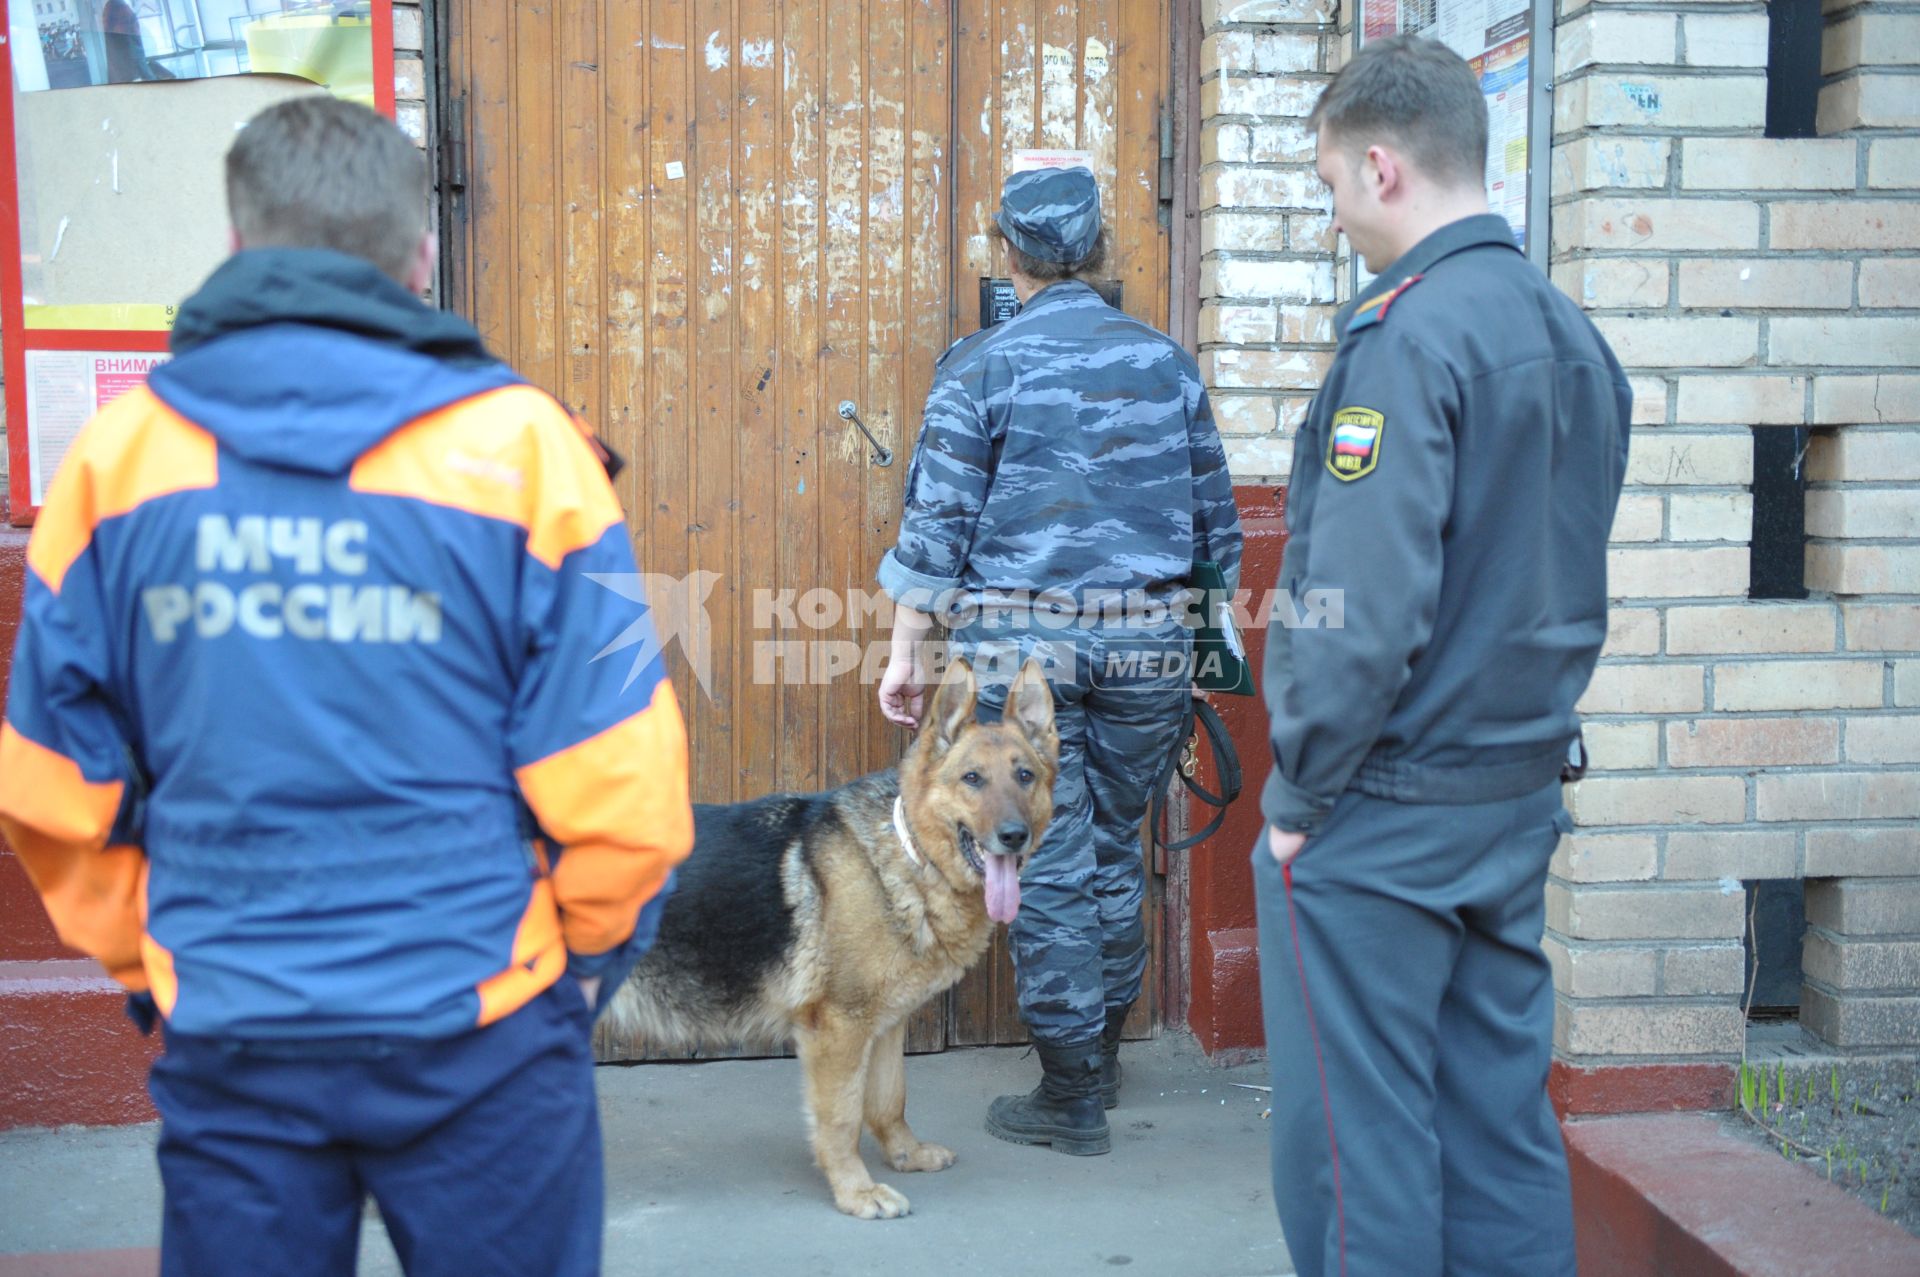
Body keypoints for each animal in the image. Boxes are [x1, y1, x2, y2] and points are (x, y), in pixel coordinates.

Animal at [599, 656, 1059, 1213]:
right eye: (973, 778)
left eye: (1024, 776)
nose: (1015, 837)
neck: (908, 854)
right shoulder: (839, 1028)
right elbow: (841, 1117)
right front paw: (856, 1191)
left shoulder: (885, 1024)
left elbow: (889, 1100)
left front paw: (904, 1156)